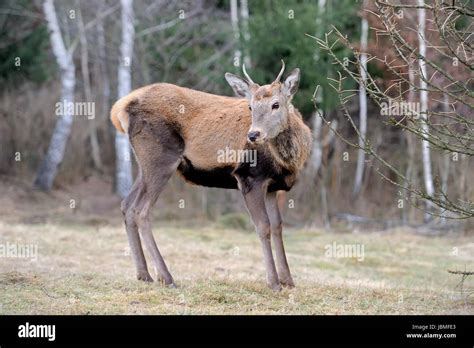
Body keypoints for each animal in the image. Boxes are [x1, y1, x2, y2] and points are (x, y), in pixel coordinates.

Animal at [109, 60, 312, 290]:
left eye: (276, 104)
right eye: (250, 106)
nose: (253, 135)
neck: (287, 161)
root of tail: (120, 108)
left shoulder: (272, 186)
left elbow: (278, 227)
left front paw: (288, 280)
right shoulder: (249, 177)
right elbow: (263, 226)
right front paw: (274, 282)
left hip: (145, 165)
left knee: (127, 205)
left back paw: (144, 274)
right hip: (161, 159)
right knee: (140, 210)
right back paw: (166, 277)